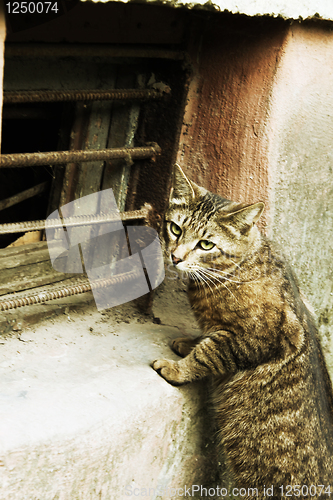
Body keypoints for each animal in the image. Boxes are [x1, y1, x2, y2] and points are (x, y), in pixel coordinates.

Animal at [151, 163, 332, 496]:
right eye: (176, 229)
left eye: (206, 244)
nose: (175, 257)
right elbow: (205, 339)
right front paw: (188, 343)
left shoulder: (251, 340)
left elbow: (207, 353)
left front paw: (177, 368)